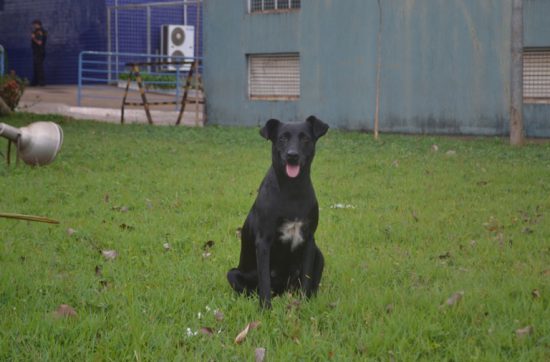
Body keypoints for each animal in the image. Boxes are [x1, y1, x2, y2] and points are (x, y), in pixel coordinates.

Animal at [227, 115, 330, 308]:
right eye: (282, 138)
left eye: (305, 139)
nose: (292, 155)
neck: (292, 190)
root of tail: (283, 290)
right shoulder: (263, 242)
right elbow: (265, 280)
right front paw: (265, 308)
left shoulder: (309, 240)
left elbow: (307, 276)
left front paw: (304, 304)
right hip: (233, 274)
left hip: (319, 255)